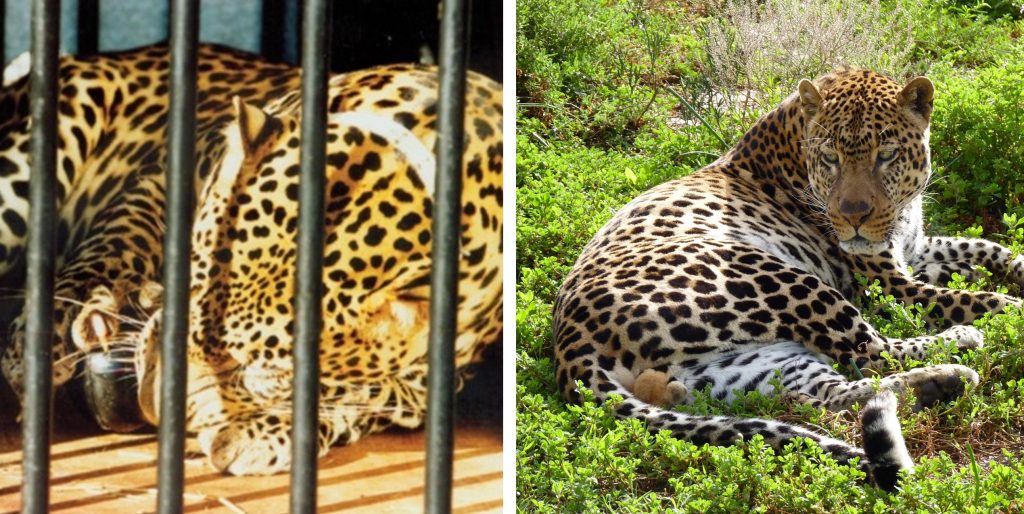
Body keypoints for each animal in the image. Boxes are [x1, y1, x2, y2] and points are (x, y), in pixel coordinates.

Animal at [0, 46, 503, 475]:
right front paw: (62, 319)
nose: (152, 401)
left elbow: (362, 392)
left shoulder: (431, 384)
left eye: (255, 366)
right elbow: (122, 233)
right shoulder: (168, 174)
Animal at [557, 67, 1019, 489]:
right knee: (872, 351)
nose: (852, 216)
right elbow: (982, 299)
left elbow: (987, 248)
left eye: (886, 155)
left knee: (838, 391)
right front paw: (1009, 305)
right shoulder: (891, 284)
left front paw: (1000, 268)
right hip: (778, 276)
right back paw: (962, 344)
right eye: (831, 159)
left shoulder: (914, 250)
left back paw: (942, 383)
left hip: (749, 365)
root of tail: (568, 346)